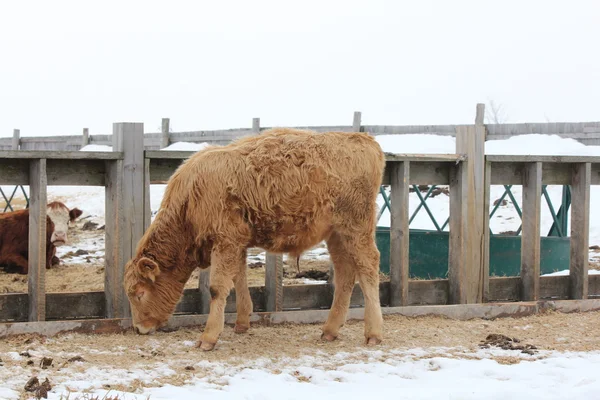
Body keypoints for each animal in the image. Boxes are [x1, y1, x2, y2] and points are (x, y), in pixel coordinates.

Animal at [124, 127, 386, 350]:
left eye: (139, 293)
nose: (139, 328)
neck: (191, 198)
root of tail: (364, 140)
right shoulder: (236, 243)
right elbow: (239, 279)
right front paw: (241, 323)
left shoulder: (225, 242)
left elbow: (217, 288)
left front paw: (208, 337)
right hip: (336, 235)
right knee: (345, 275)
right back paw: (330, 330)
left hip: (356, 228)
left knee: (368, 267)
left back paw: (373, 333)